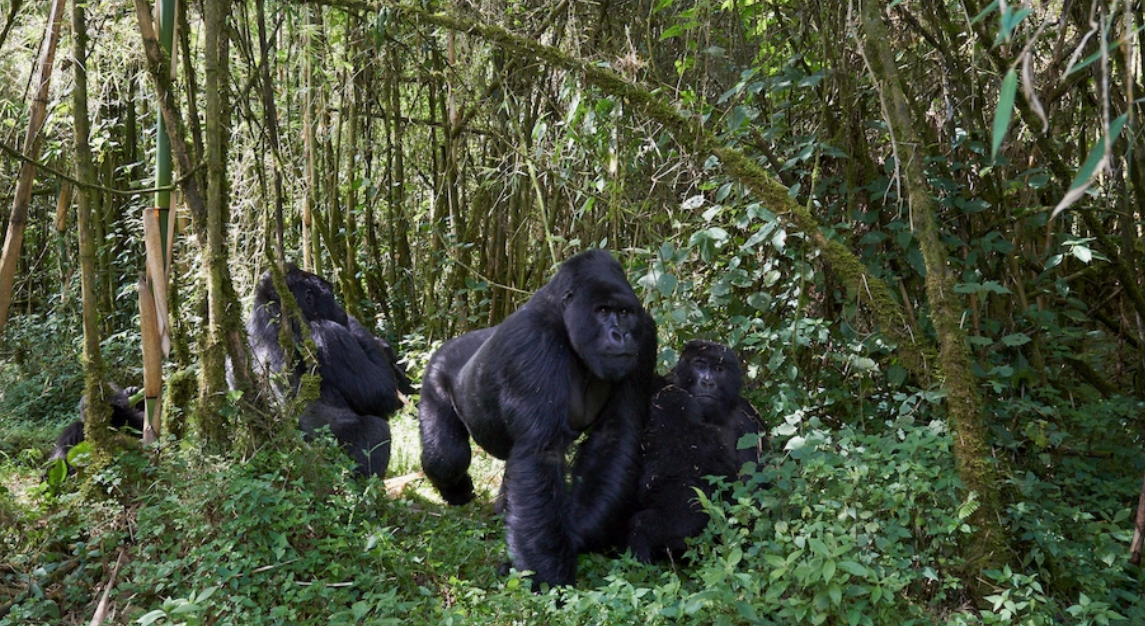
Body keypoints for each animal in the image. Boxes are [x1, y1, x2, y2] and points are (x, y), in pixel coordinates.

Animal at [246, 266, 416, 478]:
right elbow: (383, 393)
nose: (342, 310)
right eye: (332, 297)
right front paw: (367, 334)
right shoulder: (327, 333)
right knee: (378, 430)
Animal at [421, 248, 659, 585]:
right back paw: (456, 490)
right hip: (435, 372)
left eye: (624, 313)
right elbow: (540, 453)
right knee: (447, 457)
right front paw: (549, 575)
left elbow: (615, 437)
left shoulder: (645, 336)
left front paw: (577, 535)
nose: (621, 335)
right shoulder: (533, 342)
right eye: (602, 311)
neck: (565, 318)